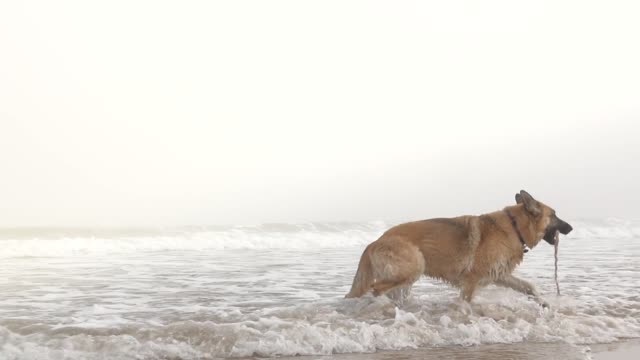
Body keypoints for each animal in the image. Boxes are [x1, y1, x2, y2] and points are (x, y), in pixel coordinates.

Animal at [348, 190, 572, 306]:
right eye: (554, 215)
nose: (570, 228)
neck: (514, 226)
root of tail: (375, 241)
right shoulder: (471, 280)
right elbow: (467, 301)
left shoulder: (499, 275)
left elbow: (528, 286)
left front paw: (543, 303)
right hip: (414, 267)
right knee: (376, 289)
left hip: (405, 279)